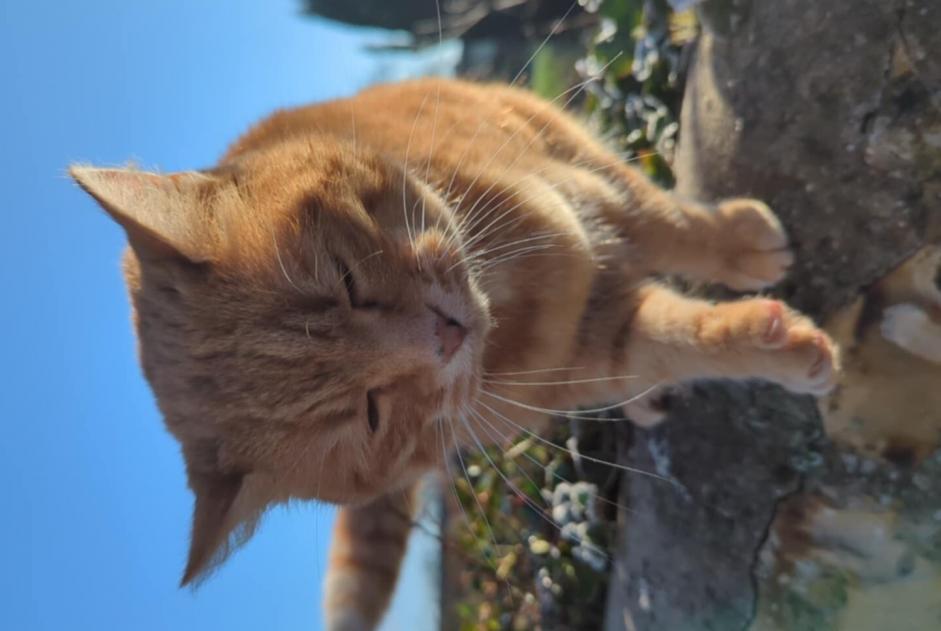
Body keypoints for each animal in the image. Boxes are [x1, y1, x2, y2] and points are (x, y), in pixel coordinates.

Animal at [71, 79, 836, 631]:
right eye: (371, 413)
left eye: (345, 285)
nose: (444, 335)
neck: (508, 296)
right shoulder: (595, 350)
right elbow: (677, 339)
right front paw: (781, 348)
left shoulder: (579, 178)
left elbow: (668, 222)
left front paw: (739, 244)